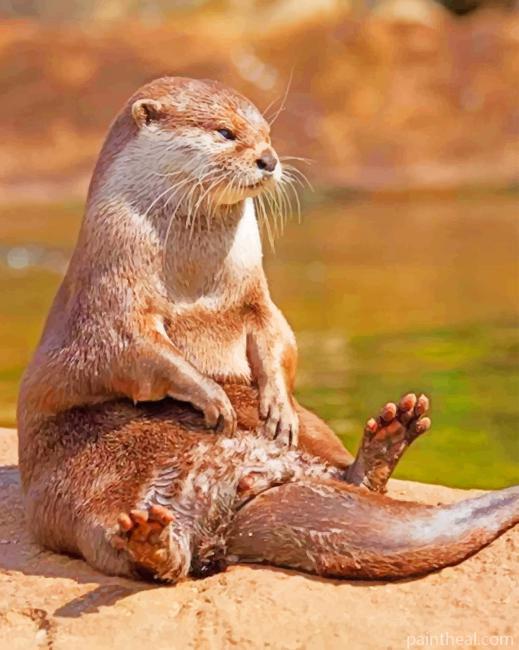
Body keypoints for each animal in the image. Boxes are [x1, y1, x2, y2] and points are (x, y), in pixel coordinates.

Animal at [17, 77, 518, 582]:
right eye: (225, 132)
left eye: (267, 133)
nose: (269, 158)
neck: (193, 279)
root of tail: (237, 491)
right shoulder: (112, 294)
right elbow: (138, 352)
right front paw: (211, 396)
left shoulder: (255, 297)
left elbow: (278, 338)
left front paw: (276, 405)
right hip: (84, 486)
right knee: (126, 544)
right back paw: (151, 540)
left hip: (313, 428)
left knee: (347, 475)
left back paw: (387, 437)